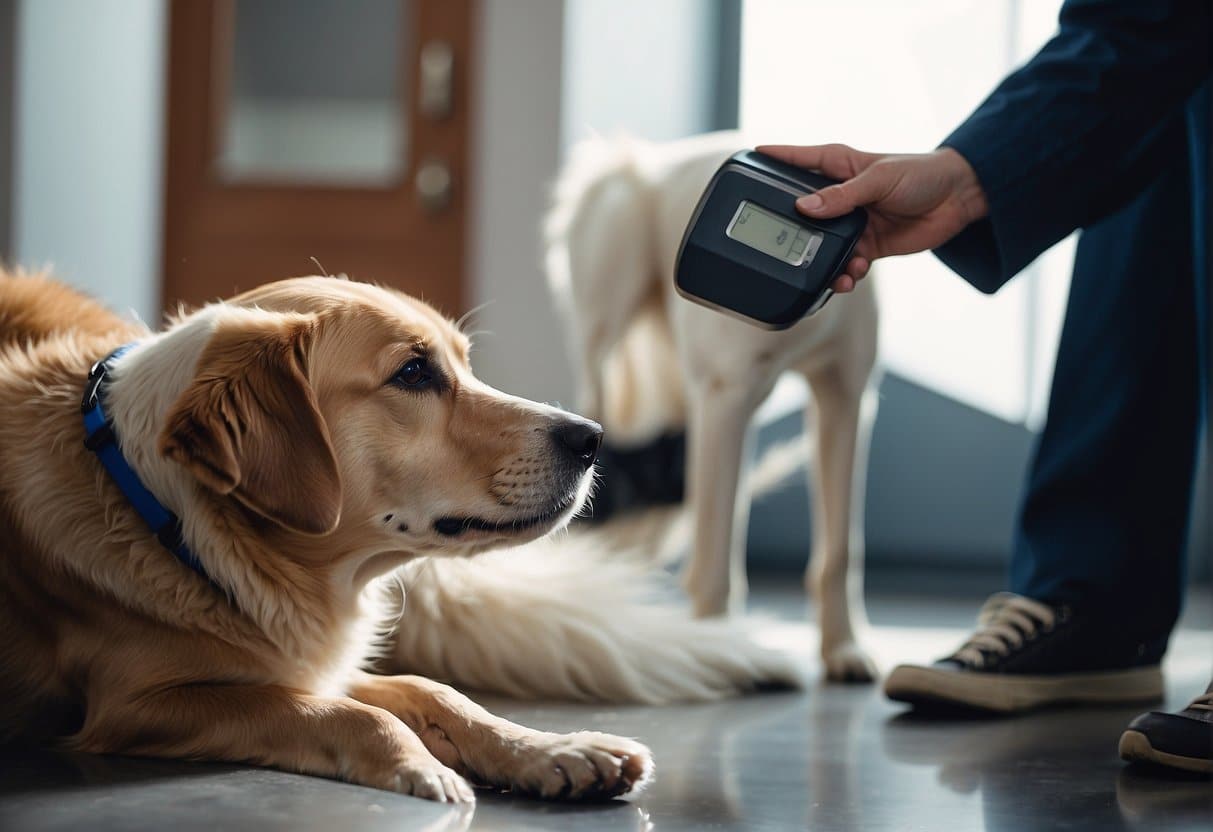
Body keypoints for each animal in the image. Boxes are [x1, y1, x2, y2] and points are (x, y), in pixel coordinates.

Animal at [0, 270, 800, 805]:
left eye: (463, 363)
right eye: (413, 372)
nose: (591, 438)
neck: (179, 518)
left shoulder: (303, 658)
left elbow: (430, 691)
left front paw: (551, 750)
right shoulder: (142, 701)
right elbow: (348, 713)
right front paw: (424, 768)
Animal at [548, 132, 883, 684]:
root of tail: (646, 154)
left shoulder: (847, 397)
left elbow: (841, 549)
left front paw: (844, 646)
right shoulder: (727, 397)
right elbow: (715, 559)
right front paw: (722, 649)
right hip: (605, 326)